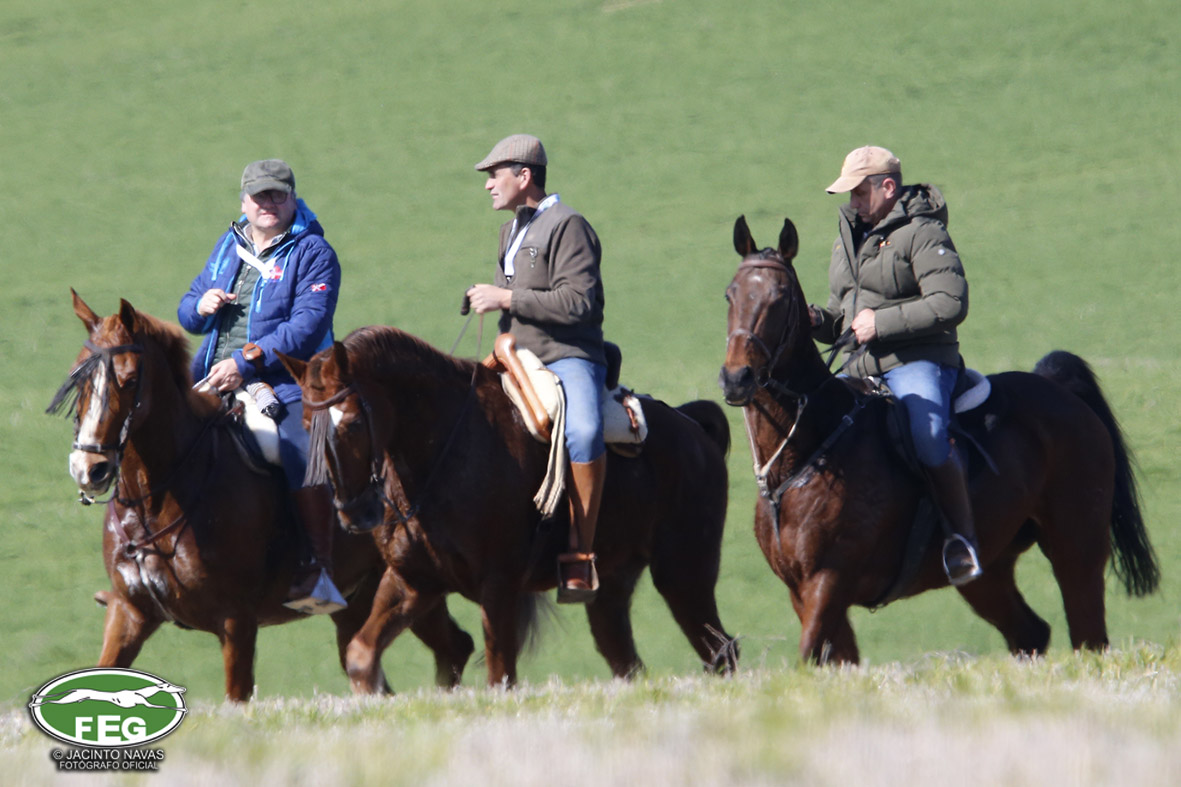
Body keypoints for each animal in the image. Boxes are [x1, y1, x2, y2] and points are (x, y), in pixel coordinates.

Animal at [49, 292, 475, 701]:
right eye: (77, 375)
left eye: (129, 378)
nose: (89, 468)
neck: (157, 500)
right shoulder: (129, 612)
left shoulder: (236, 621)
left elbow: (237, 695)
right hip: (364, 602)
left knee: (456, 647)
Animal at [278, 325, 738, 688]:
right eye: (305, 424)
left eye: (354, 423)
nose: (354, 513)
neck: (445, 453)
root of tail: (694, 428)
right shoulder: (413, 581)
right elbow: (361, 656)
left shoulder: (499, 586)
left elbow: (501, 673)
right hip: (612, 587)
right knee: (627, 658)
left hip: (685, 575)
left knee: (720, 650)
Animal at [718, 217, 1159, 664]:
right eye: (730, 295)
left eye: (781, 297)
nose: (737, 378)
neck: (808, 453)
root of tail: (1057, 388)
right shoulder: (802, 592)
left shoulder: (828, 582)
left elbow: (808, 656)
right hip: (989, 572)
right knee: (1030, 632)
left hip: (1076, 549)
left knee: (1089, 637)